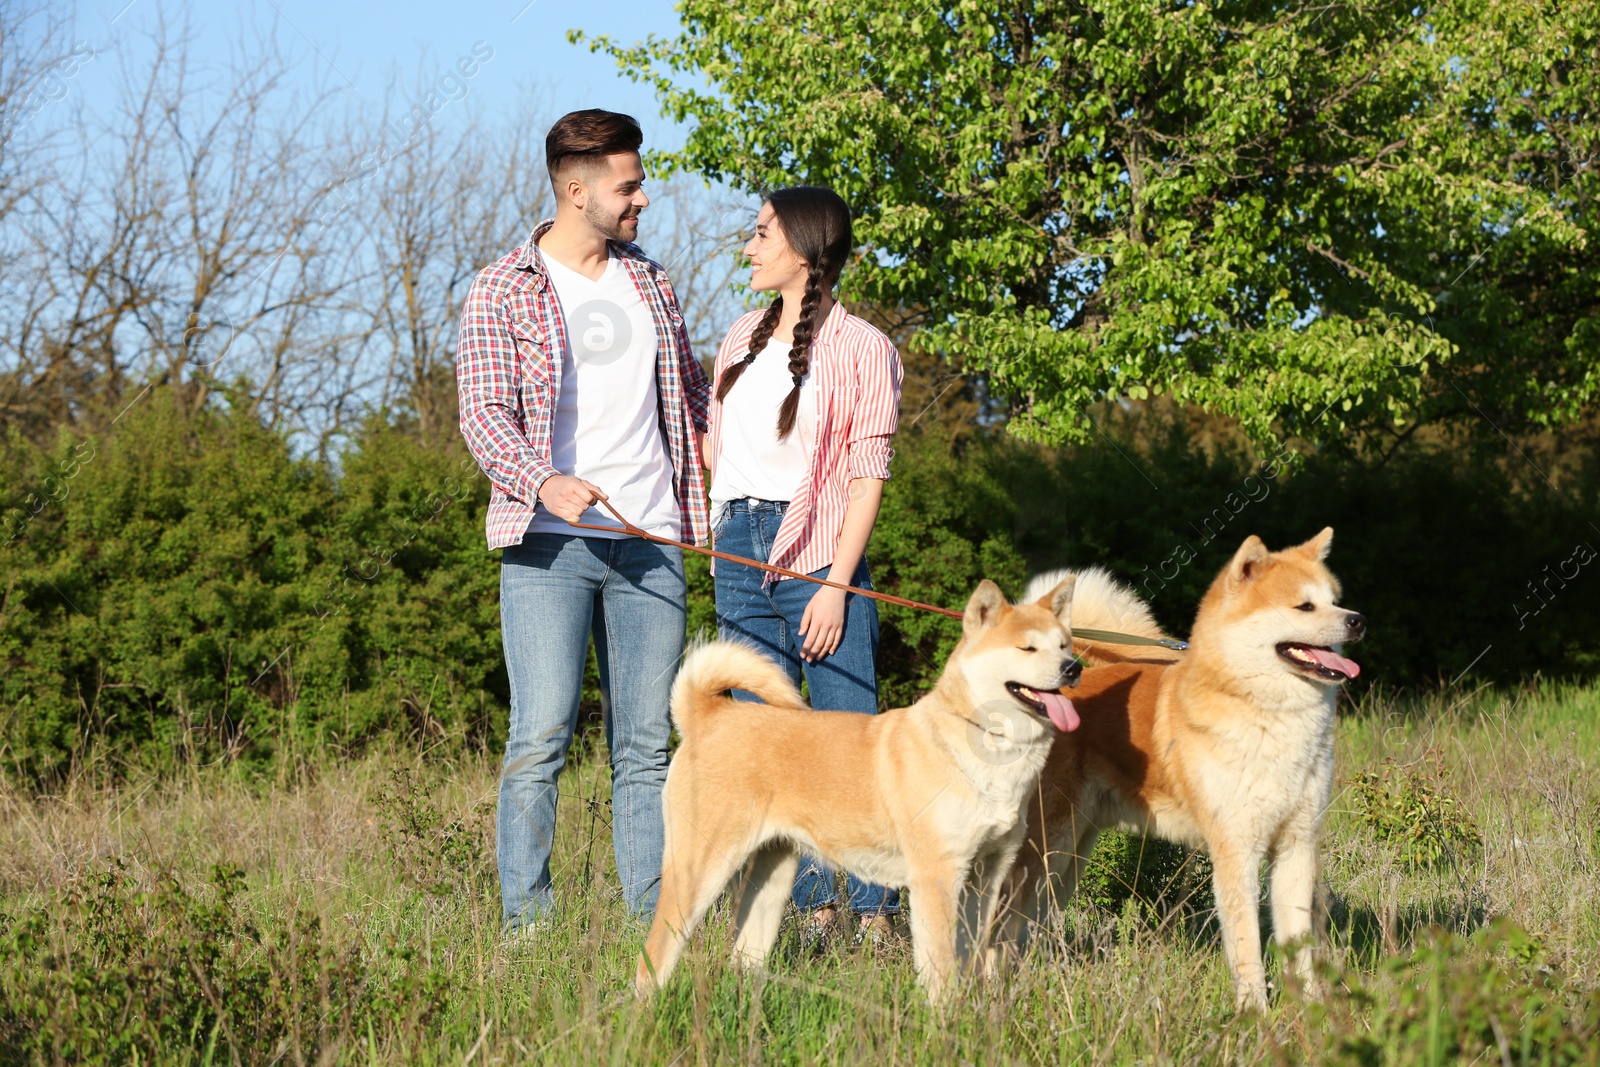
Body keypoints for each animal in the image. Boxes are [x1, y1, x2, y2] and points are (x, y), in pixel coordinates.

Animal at [636, 575, 1088, 1004]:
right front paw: (945, 1021)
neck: (984, 746)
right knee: (653, 959)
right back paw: (647, 1015)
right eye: (1027, 648)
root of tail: (708, 716)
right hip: (701, 870)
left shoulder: (988, 875)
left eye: (1064, 644)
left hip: (770, 878)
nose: (1073, 668)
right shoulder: (937, 877)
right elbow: (941, 968)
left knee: (744, 958)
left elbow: (972, 958)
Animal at [998, 531, 1363, 1017]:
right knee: (1000, 923)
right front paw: (1255, 1015)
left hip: (1069, 855)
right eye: (1304, 606)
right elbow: (1247, 946)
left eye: (1335, 601)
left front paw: (1311, 1012)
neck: (1270, 717)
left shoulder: (1296, 846)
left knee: (1028, 925)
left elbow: (1299, 944)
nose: (1358, 621)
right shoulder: (1236, 852)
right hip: (1045, 848)